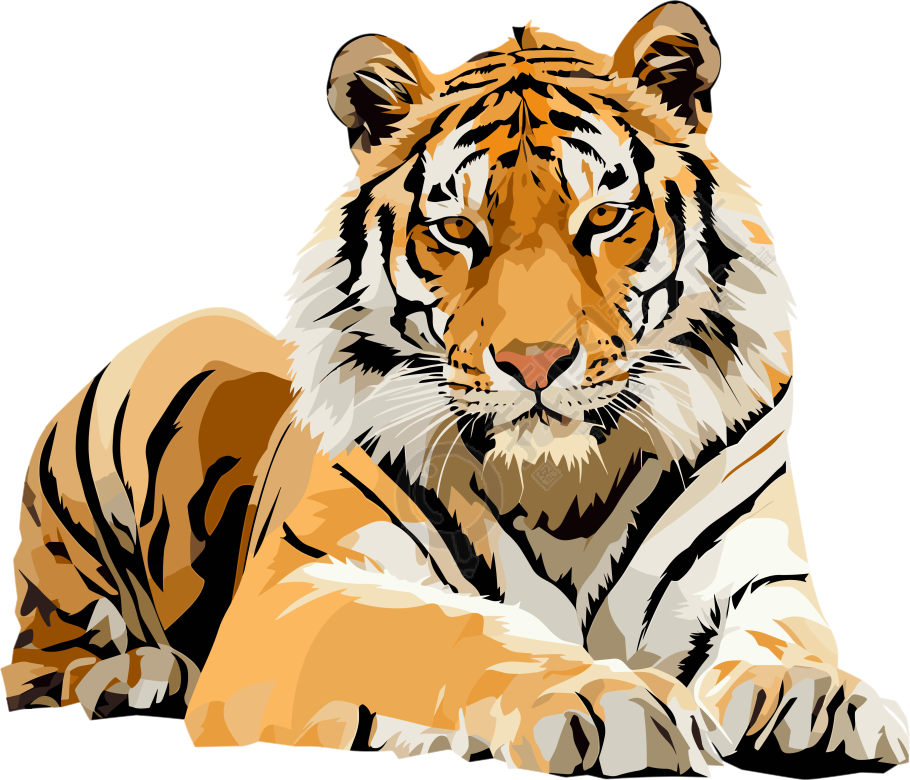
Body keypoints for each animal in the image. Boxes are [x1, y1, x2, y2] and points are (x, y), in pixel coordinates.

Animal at [4, 2, 908, 776]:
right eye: (457, 230)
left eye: (603, 218)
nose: (536, 363)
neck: (562, 488)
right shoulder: (297, 593)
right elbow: (454, 631)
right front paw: (605, 696)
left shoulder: (756, 575)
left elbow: (787, 639)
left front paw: (821, 698)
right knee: (42, 652)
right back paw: (140, 674)